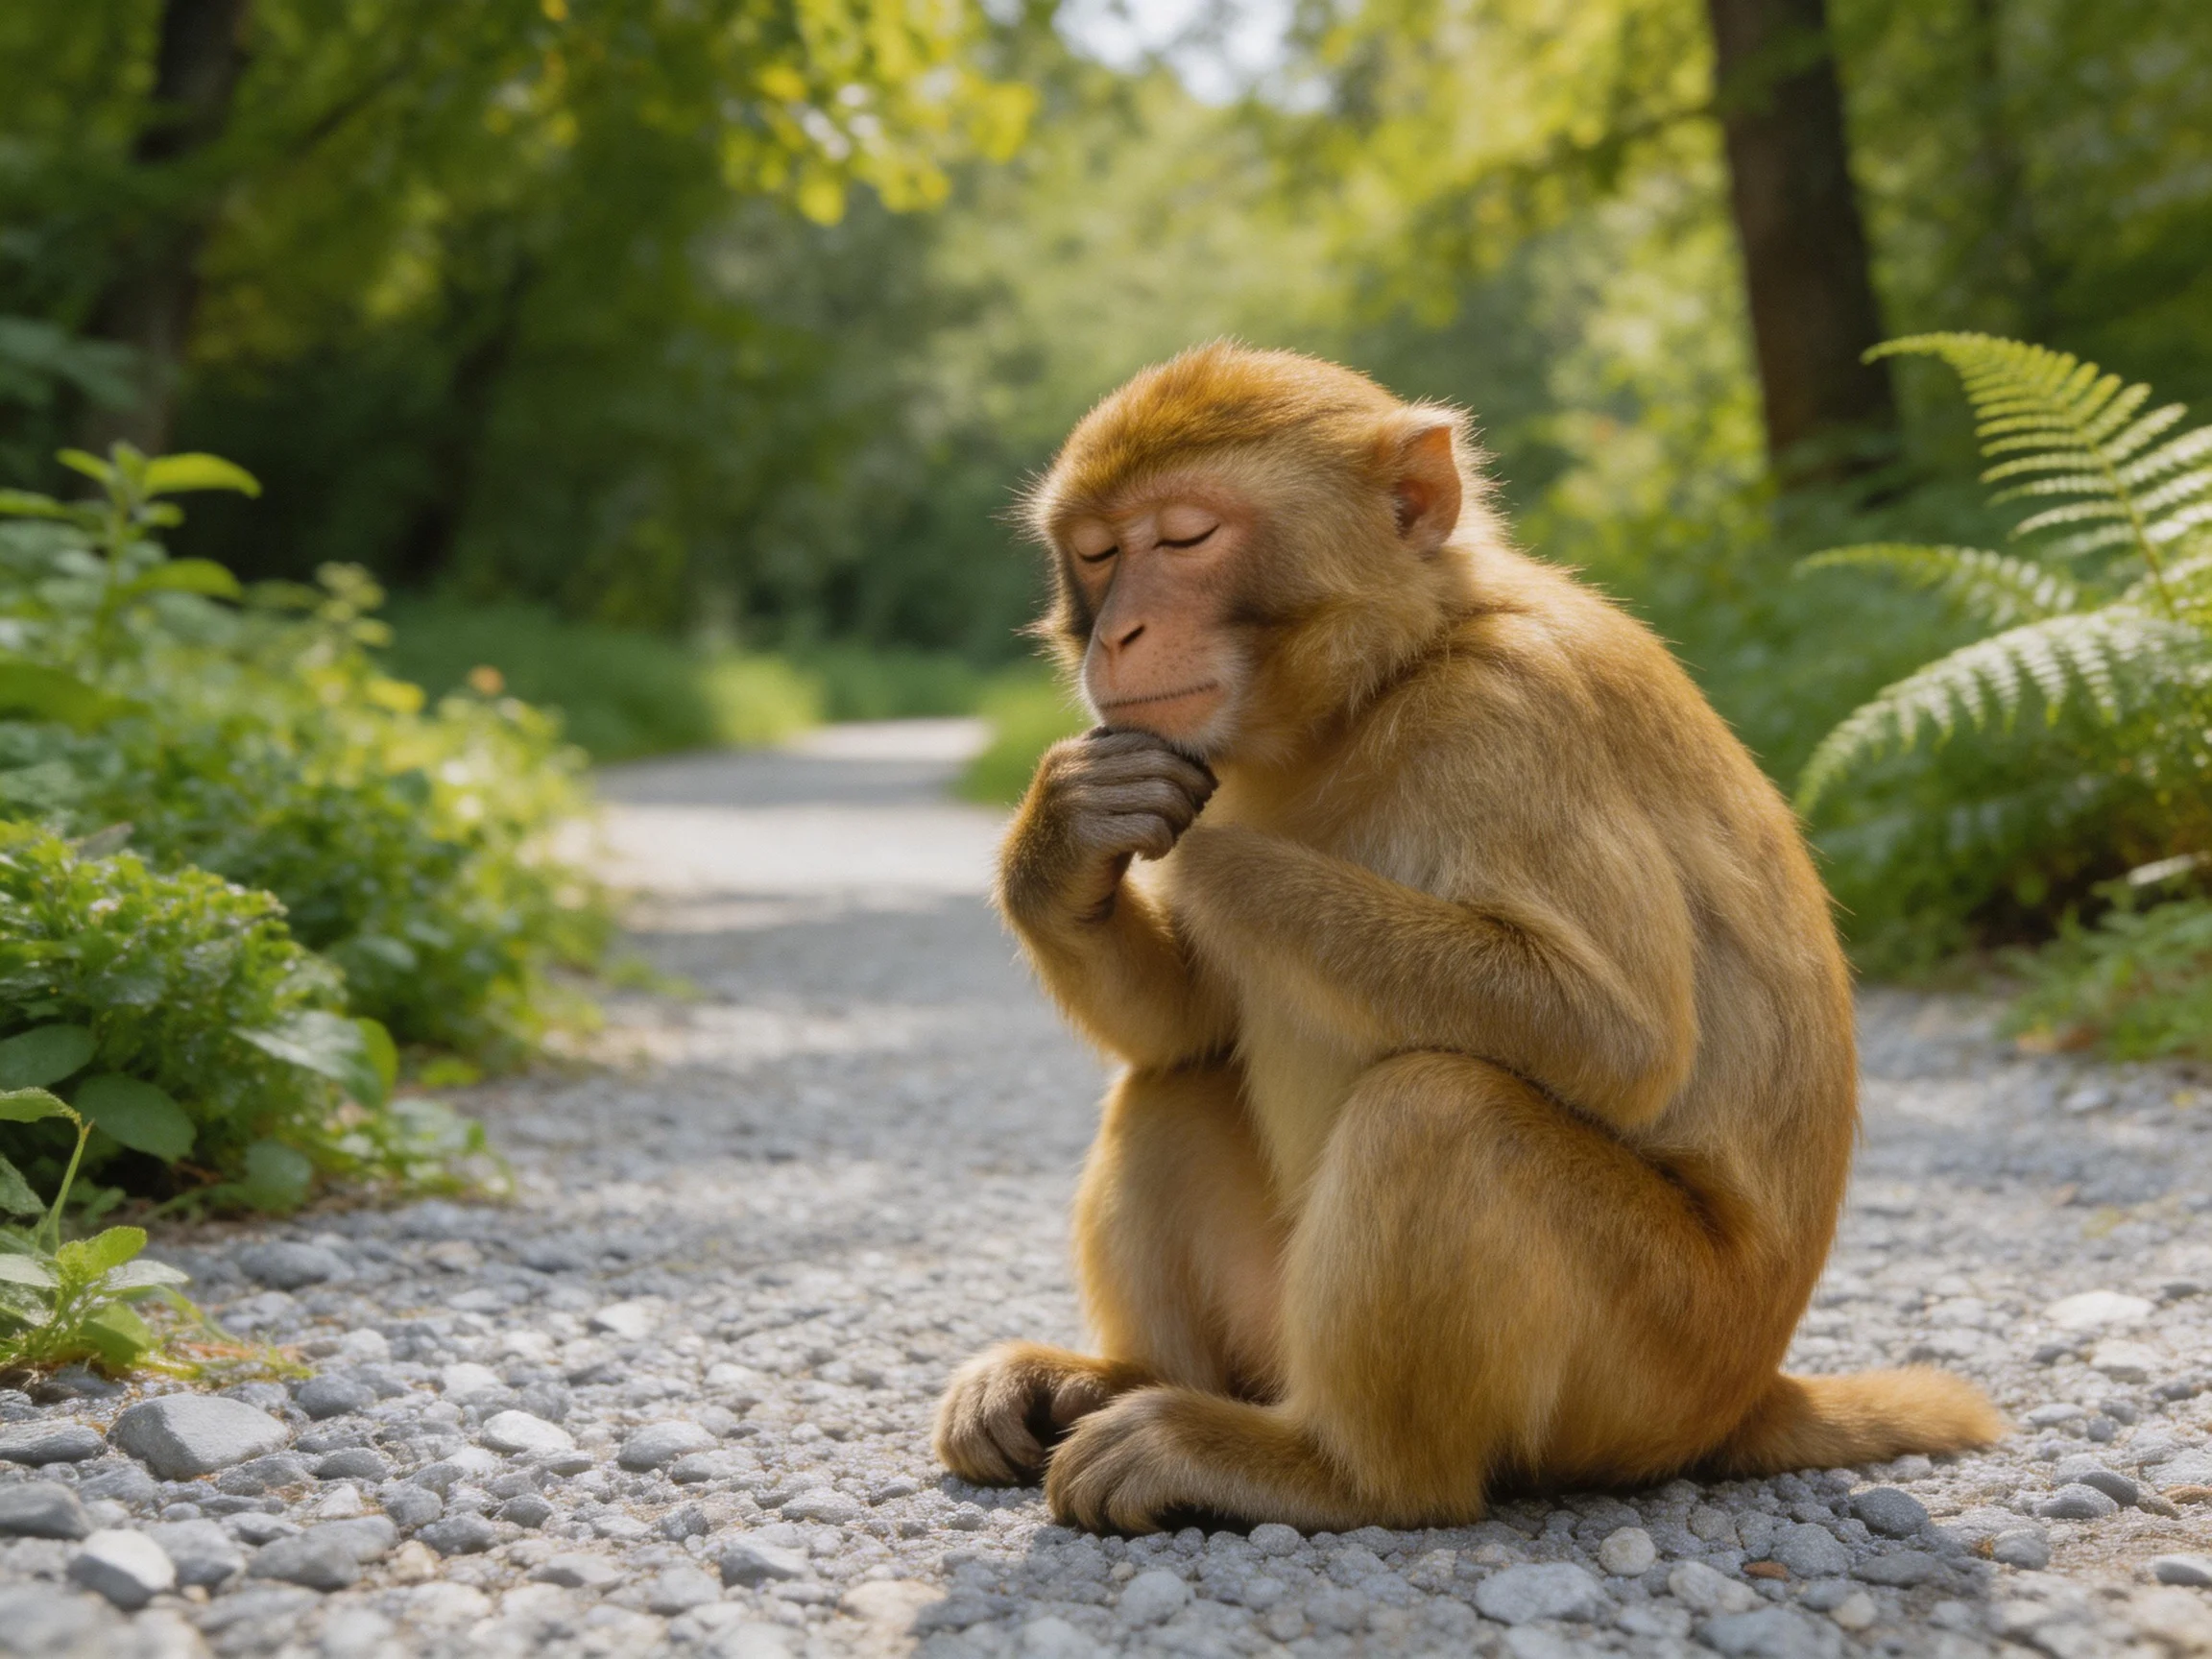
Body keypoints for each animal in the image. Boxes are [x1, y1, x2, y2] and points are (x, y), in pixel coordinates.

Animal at [934, 344, 2003, 1534]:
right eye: (1097, 553)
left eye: (1185, 538)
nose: (1117, 630)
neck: (1390, 676)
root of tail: (1747, 1390)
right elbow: (1192, 1020)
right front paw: (1066, 837)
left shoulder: (1514, 719)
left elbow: (1618, 1039)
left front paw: (1214, 859)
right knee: (1175, 1077)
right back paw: (1108, 1383)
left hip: (1652, 1361)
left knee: (1440, 1111)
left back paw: (1328, 1470)